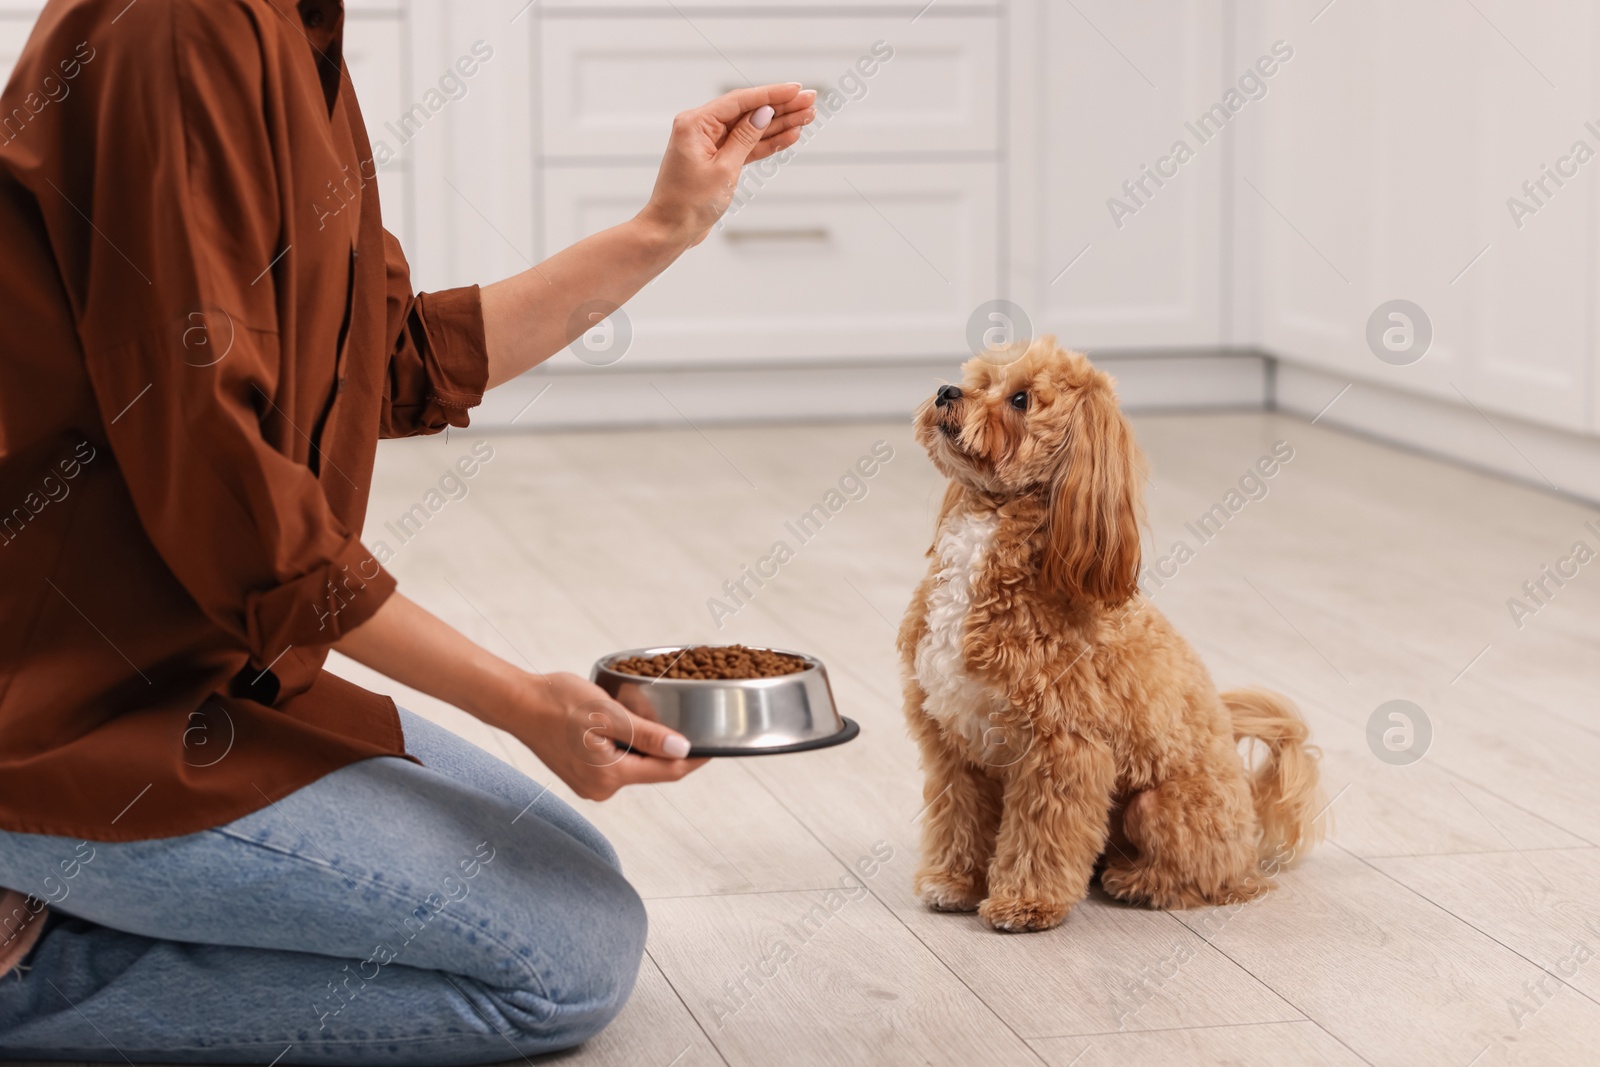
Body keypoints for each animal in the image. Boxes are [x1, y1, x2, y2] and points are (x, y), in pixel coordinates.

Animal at [902, 337, 1324, 927]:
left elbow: (1040, 836)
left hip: (1159, 805)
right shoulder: (953, 744)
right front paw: (953, 882)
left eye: (1020, 400)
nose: (945, 391)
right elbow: (957, 818)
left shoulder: (1062, 750)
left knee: (1207, 880)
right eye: (979, 380)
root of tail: (1252, 836)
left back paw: (1137, 881)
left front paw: (1024, 903)